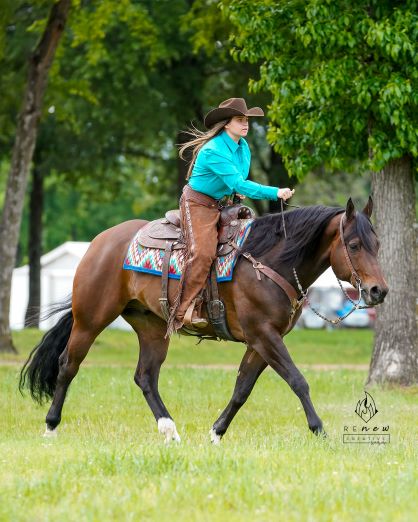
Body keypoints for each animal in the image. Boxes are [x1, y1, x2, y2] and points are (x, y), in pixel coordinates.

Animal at [20, 197, 388, 440]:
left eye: (378, 243)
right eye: (354, 244)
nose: (378, 291)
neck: (270, 262)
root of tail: (101, 241)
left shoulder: (261, 341)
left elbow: (242, 389)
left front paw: (216, 433)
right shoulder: (265, 336)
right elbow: (298, 380)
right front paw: (319, 430)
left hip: (152, 328)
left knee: (145, 376)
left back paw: (169, 429)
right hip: (91, 319)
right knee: (68, 365)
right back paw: (51, 425)